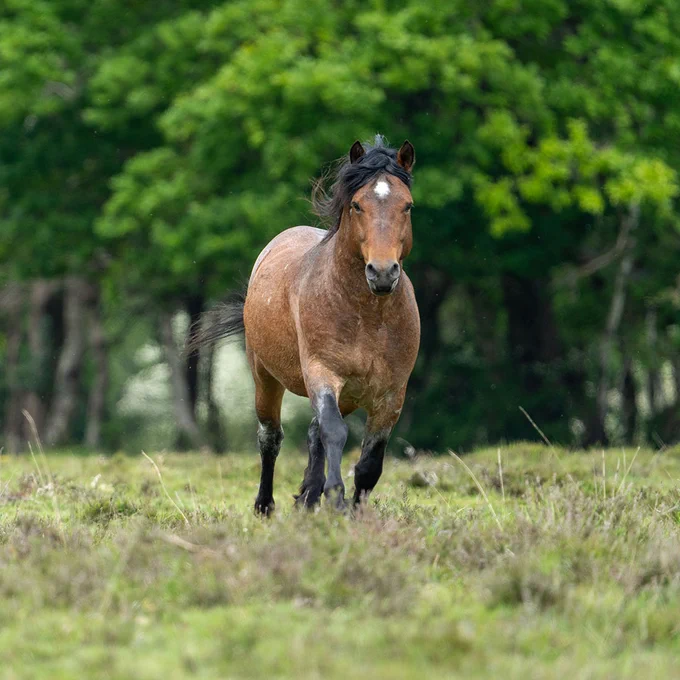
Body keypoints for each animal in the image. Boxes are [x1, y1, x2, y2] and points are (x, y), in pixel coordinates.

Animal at [197, 135, 420, 513]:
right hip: (265, 377)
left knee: (314, 435)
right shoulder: (322, 372)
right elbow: (334, 432)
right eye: (357, 205)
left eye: (407, 206)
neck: (368, 317)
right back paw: (266, 506)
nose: (382, 272)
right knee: (271, 437)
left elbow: (370, 463)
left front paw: (351, 510)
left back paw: (308, 497)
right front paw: (335, 498)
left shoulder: (391, 394)